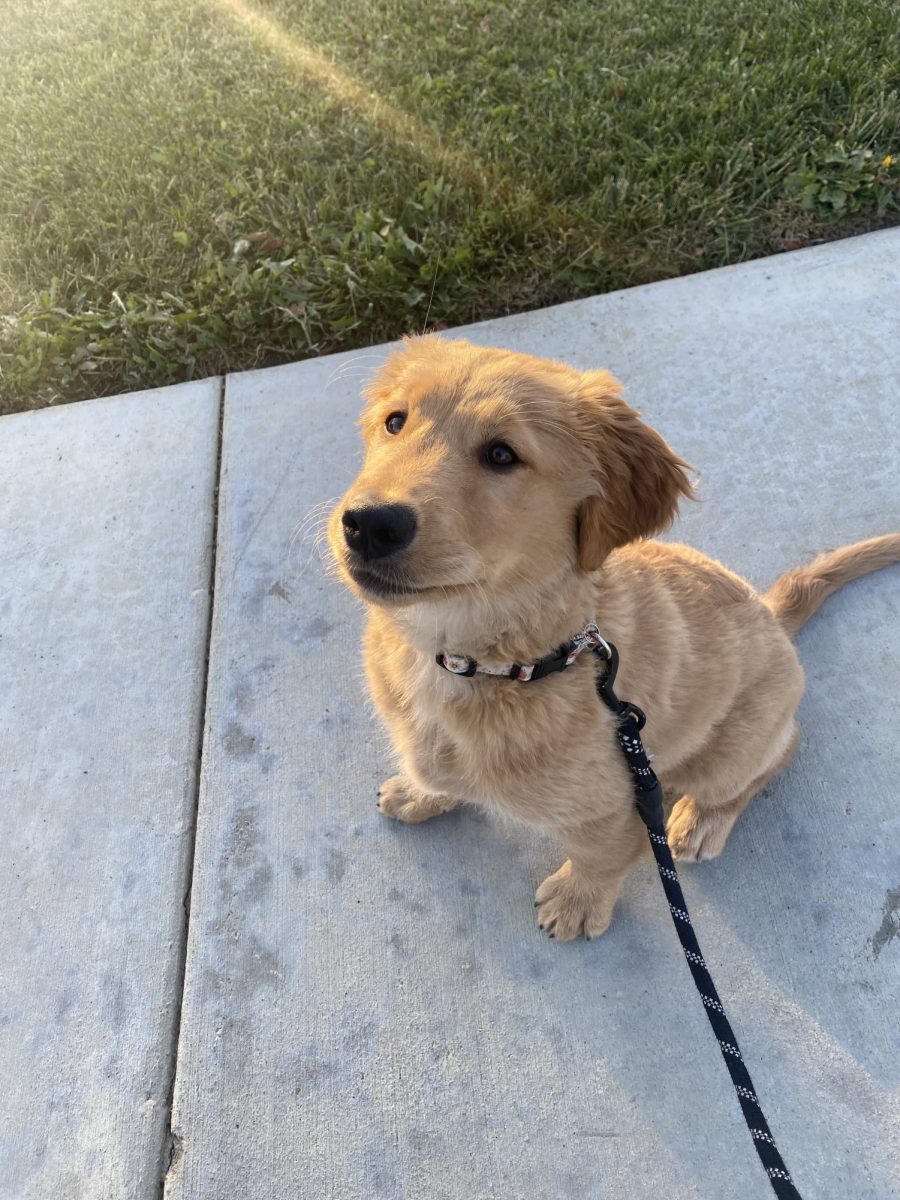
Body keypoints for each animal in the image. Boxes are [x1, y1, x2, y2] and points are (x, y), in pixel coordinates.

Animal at [328, 336, 900, 936]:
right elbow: (433, 770)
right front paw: (421, 791)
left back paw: (701, 819)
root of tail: (771, 613)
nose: (369, 524)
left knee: (776, 754)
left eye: (503, 455)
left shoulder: (620, 803)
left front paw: (578, 902)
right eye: (395, 422)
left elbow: (600, 859)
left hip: (734, 747)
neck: (485, 661)